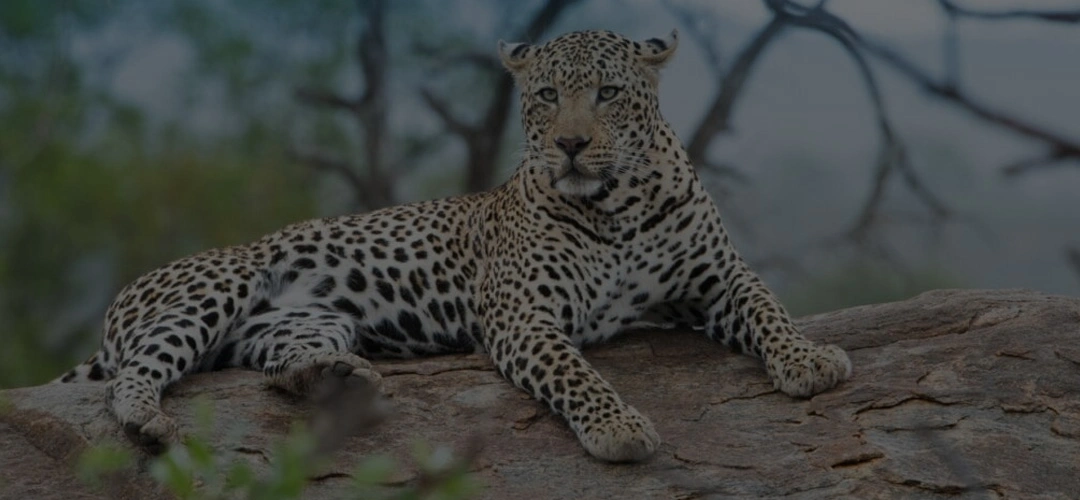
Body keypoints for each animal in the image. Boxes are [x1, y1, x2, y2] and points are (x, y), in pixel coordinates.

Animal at [56, 29, 851, 463]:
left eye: (607, 93)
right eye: (544, 96)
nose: (569, 145)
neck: (617, 205)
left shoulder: (720, 279)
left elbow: (770, 308)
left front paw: (811, 359)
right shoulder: (525, 315)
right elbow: (576, 373)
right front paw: (618, 426)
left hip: (303, 322)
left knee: (276, 369)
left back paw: (335, 379)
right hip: (214, 288)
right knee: (136, 373)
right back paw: (149, 419)